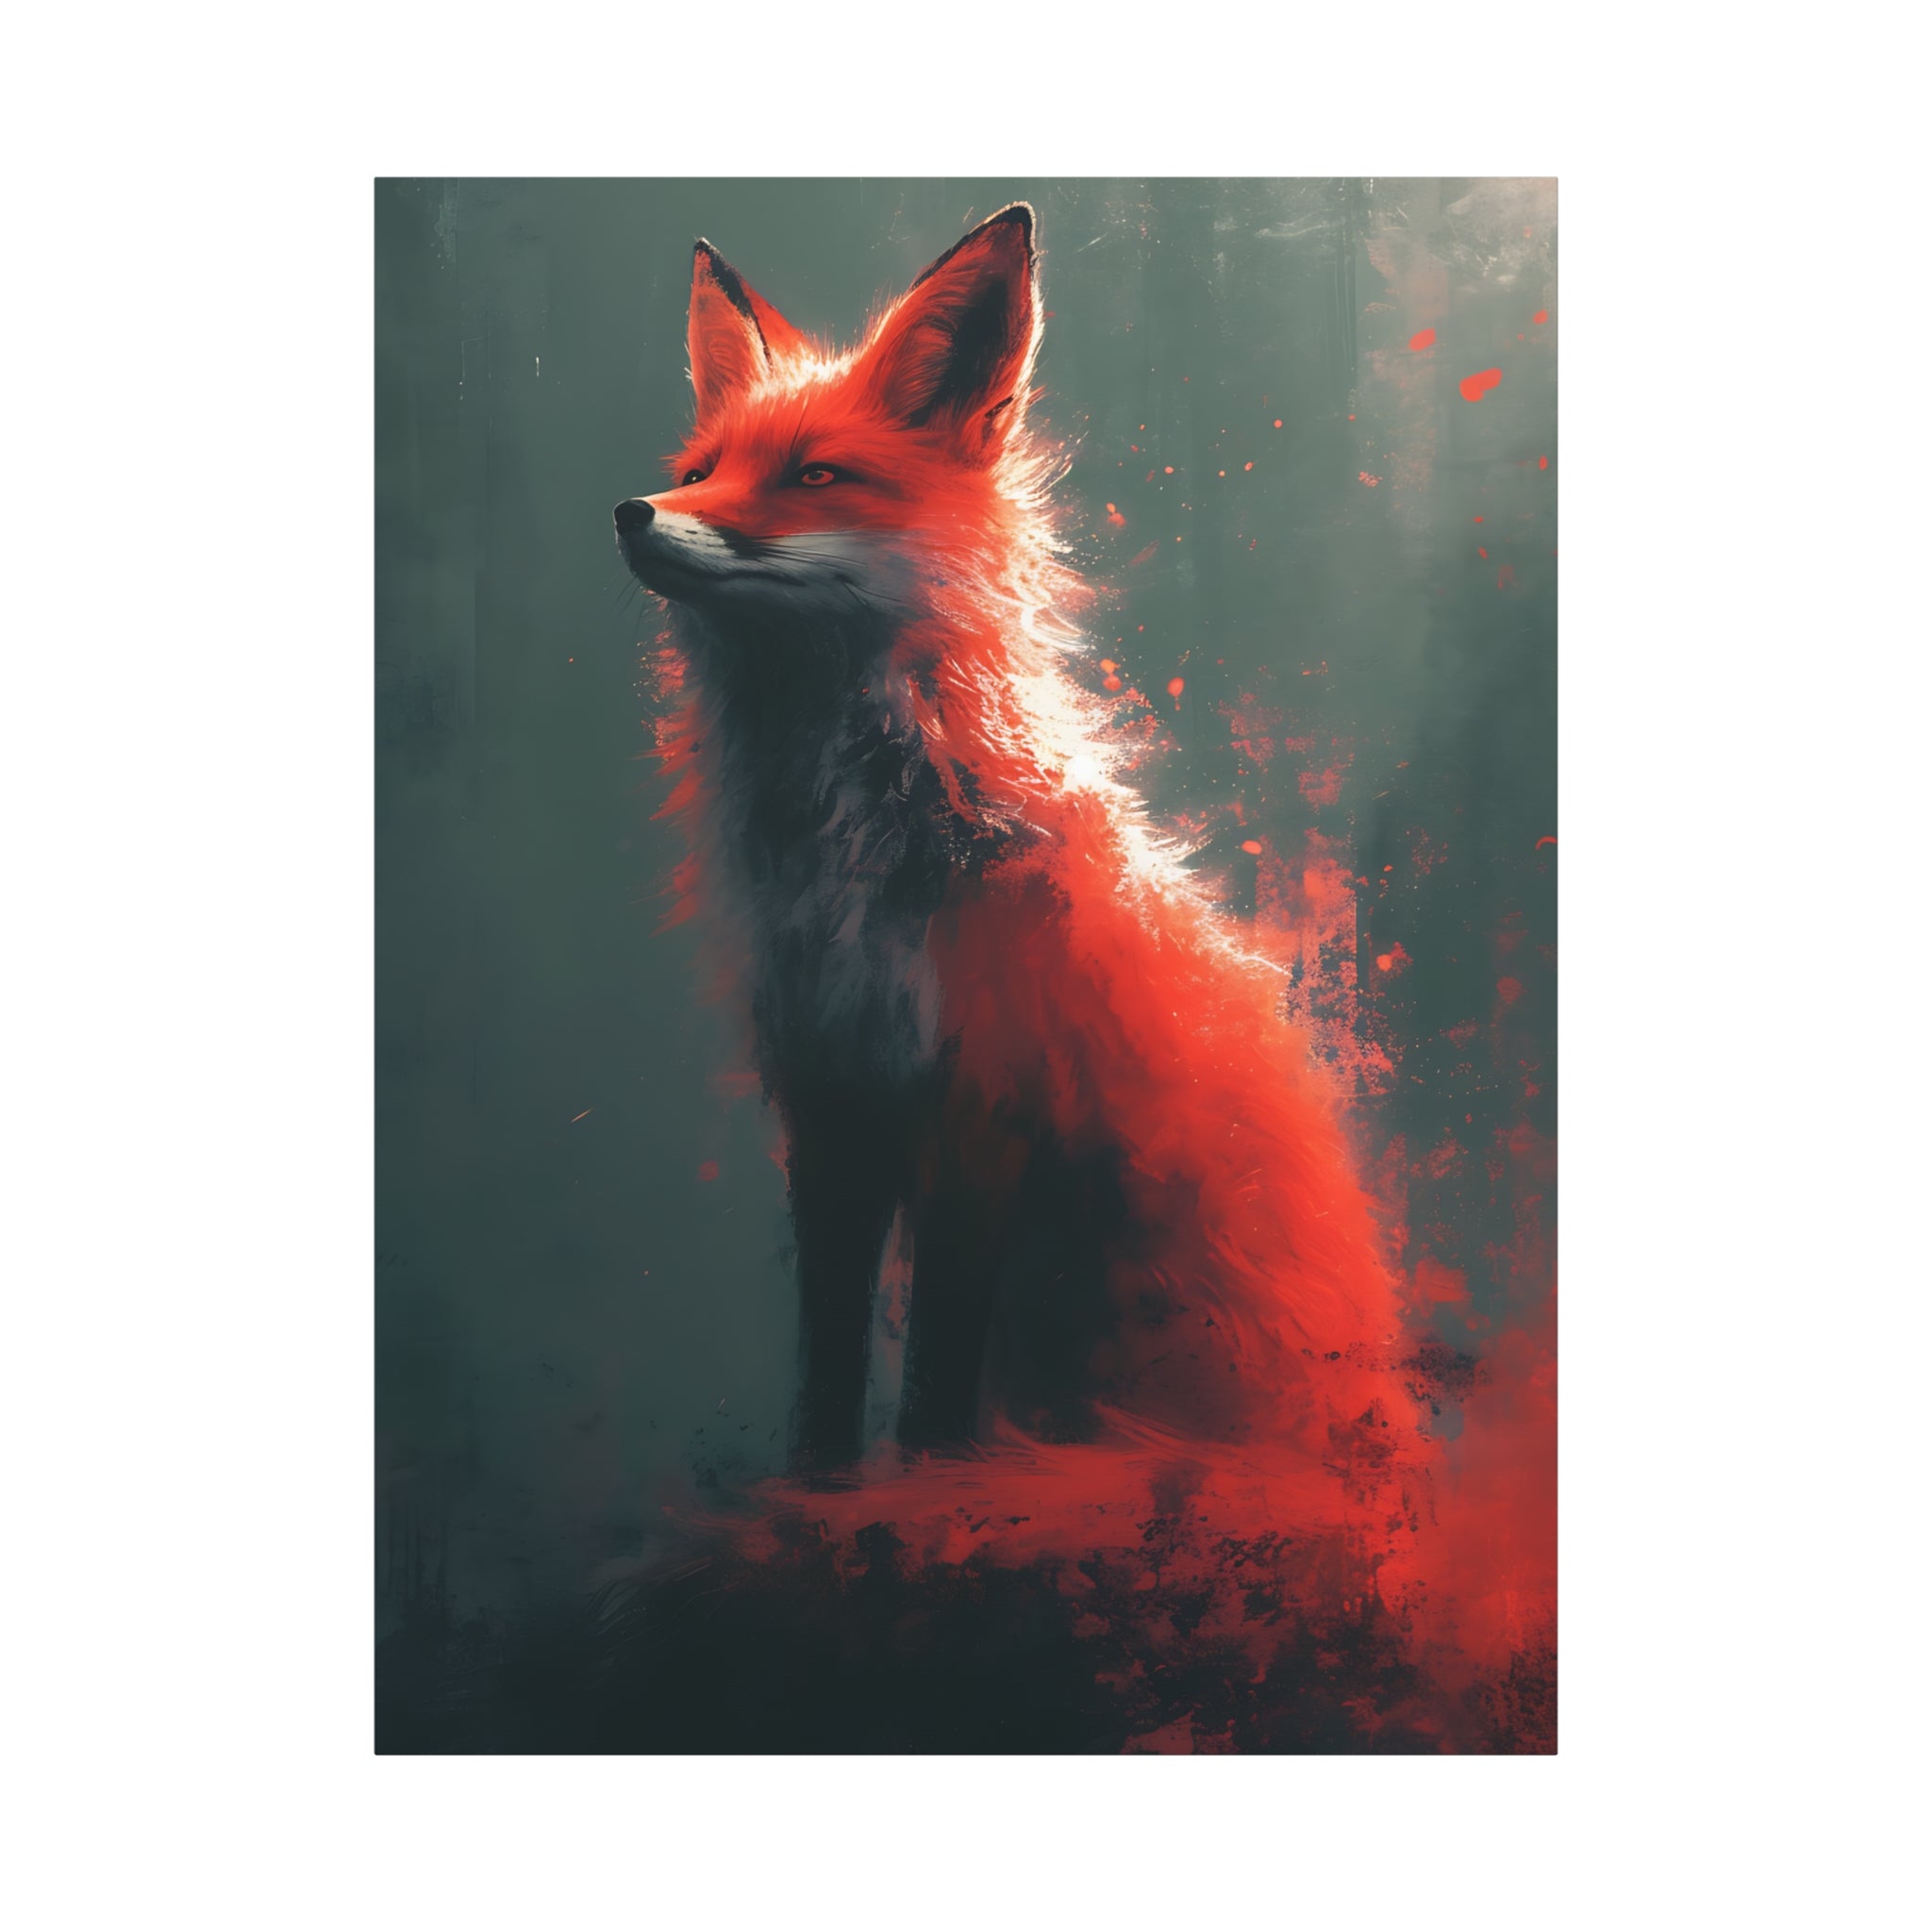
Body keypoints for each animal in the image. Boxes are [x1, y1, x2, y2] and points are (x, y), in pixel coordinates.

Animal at [616, 205, 1424, 1487]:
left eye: (813, 475)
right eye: (701, 472)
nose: (633, 512)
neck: (854, 855)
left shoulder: (983, 1101)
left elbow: (937, 1366)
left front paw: (929, 1482)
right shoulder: (828, 1096)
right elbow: (828, 1351)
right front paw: (819, 1484)